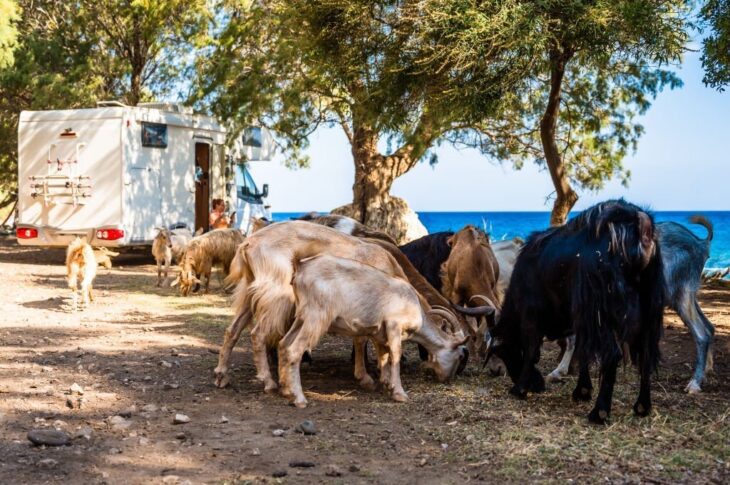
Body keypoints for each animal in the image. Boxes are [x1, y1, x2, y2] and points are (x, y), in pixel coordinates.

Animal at [213, 221, 464, 392]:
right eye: (460, 352)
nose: (447, 378)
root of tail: (248, 243)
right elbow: (365, 340)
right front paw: (368, 377)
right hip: (278, 294)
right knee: (258, 333)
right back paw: (268, 381)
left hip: (250, 290)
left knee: (232, 330)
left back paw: (222, 376)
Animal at [282, 255, 470, 406]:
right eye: (460, 355)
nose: (446, 379)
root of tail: (301, 268)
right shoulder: (394, 325)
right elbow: (395, 355)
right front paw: (399, 394)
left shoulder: (381, 333)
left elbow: (385, 354)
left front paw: (386, 383)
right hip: (316, 317)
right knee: (294, 349)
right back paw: (299, 399)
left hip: (302, 317)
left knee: (284, 344)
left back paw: (286, 391)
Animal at [486, 199, 664, 422]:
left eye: (502, 350)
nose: (538, 386)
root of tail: (639, 223)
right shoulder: (579, 320)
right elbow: (581, 351)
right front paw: (582, 391)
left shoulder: (531, 315)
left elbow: (532, 351)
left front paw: (519, 389)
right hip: (649, 310)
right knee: (647, 354)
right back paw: (642, 406)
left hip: (601, 315)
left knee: (613, 354)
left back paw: (600, 412)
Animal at [544, 214, 712, 392]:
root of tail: (701, 244)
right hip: (688, 295)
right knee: (709, 326)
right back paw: (706, 372)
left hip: (680, 294)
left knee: (702, 333)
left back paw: (694, 384)